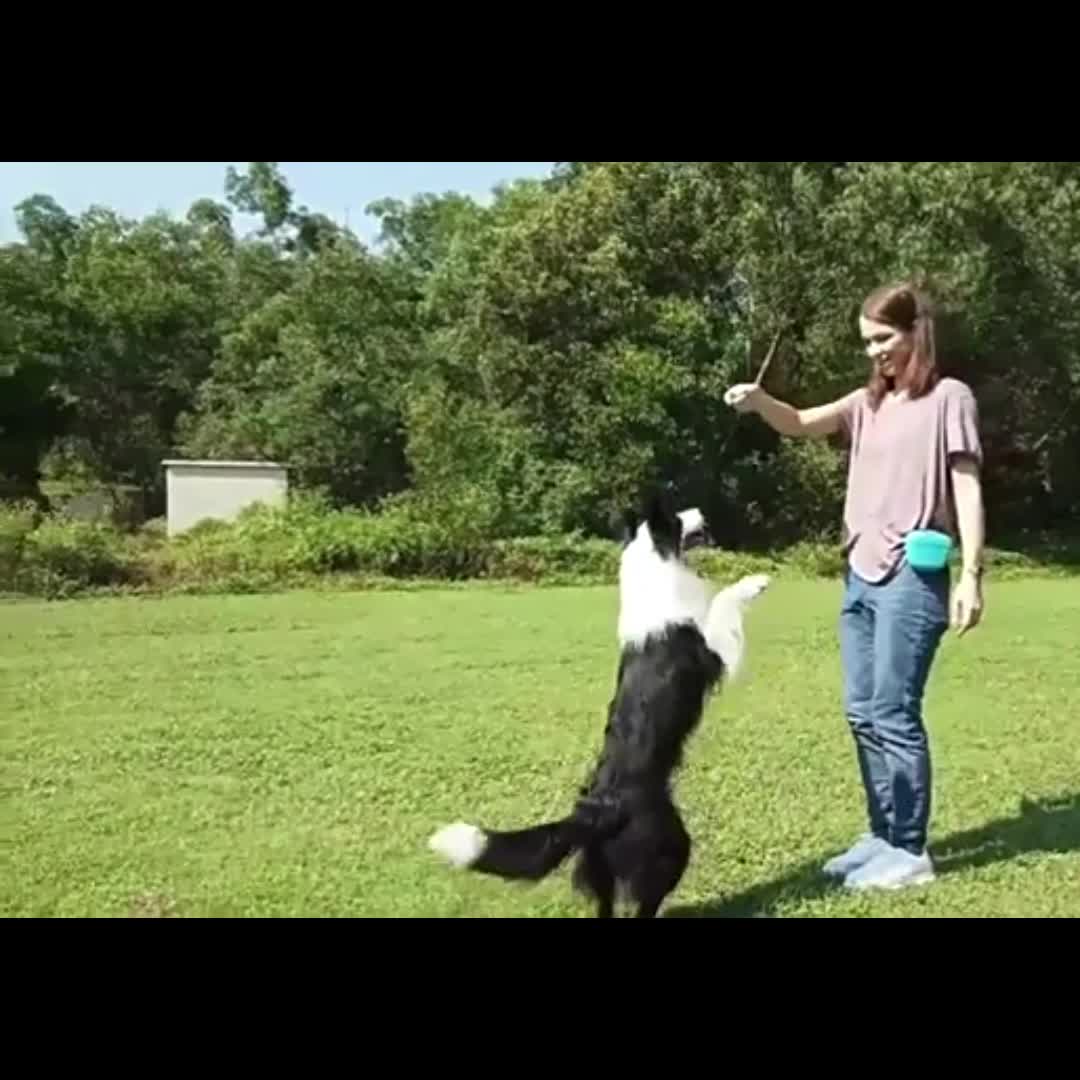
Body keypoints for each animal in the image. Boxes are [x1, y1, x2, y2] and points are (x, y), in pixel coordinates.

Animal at [425, 494, 773, 915]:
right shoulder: (713, 651)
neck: (653, 569)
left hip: (597, 867)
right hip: (670, 846)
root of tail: (597, 811)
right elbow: (723, 601)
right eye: (676, 519)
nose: (701, 514)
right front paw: (755, 582)